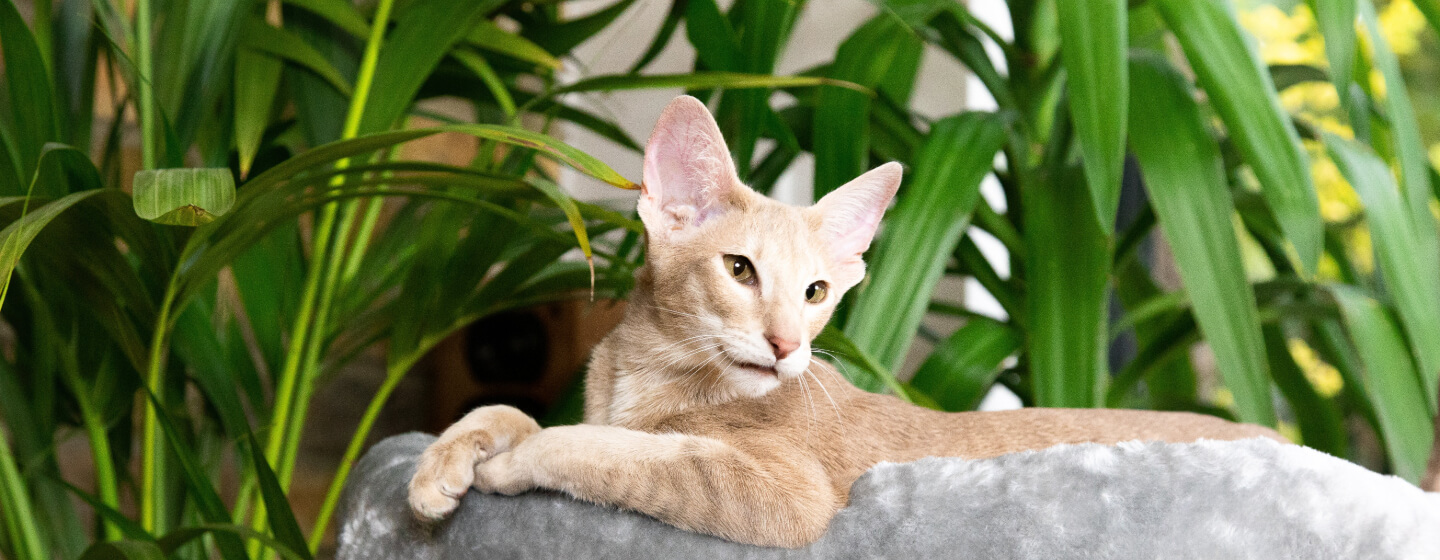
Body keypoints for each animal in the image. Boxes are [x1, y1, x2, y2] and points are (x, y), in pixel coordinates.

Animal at [408, 95, 1296, 544]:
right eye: (740, 270)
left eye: (816, 293)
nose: (786, 347)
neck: (647, 376)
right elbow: (510, 407)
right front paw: (438, 465)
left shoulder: (784, 493)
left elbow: (613, 450)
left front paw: (513, 462)